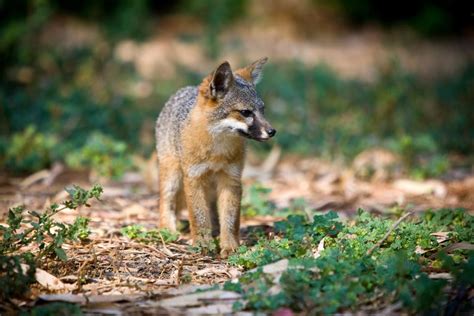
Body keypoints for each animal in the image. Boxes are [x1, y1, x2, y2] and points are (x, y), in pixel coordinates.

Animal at [156, 58, 276, 256]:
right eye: (246, 113)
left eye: (263, 110)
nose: (272, 131)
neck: (217, 152)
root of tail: (183, 90)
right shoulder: (194, 178)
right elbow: (199, 216)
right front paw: (203, 244)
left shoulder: (231, 179)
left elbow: (230, 218)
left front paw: (229, 245)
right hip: (172, 175)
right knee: (166, 202)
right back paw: (168, 230)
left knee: (212, 210)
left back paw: (215, 231)